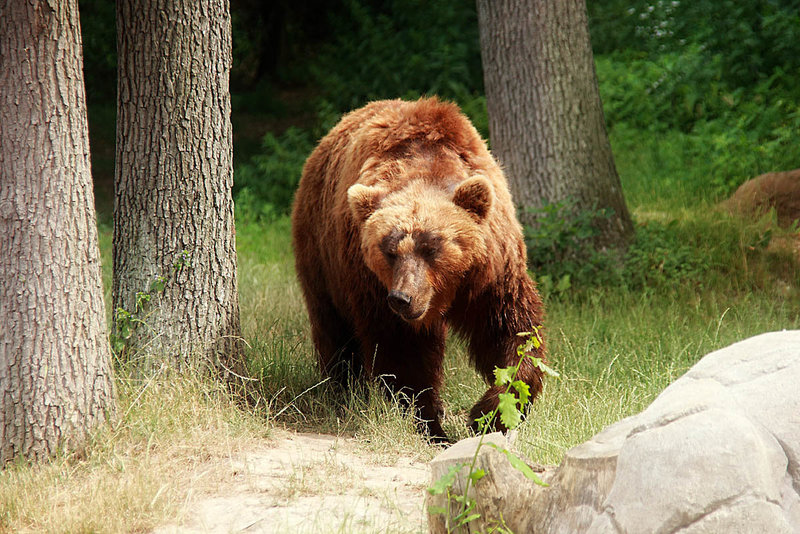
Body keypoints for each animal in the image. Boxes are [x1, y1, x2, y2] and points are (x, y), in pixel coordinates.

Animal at [290, 98, 548, 442]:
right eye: (389, 250)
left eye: (431, 247)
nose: (402, 298)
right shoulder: (372, 283)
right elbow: (404, 352)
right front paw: (431, 425)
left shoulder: (492, 273)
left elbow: (513, 335)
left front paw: (490, 413)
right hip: (322, 254)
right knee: (333, 326)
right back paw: (343, 391)